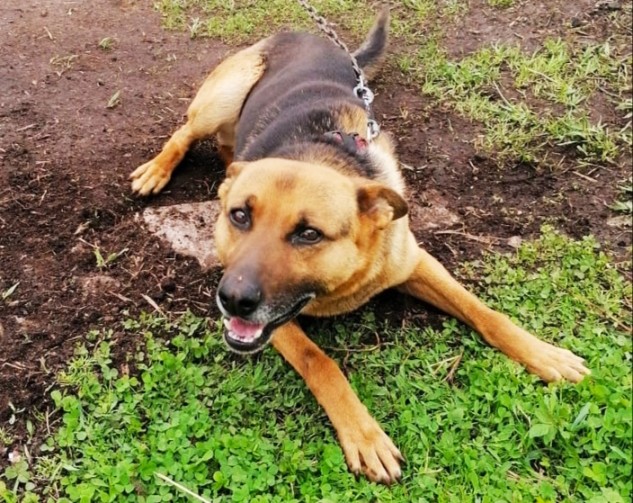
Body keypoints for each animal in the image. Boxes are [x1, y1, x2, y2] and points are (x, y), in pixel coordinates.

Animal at [130, 8, 589, 484]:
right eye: (240, 216)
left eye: (309, 233)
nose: (232, 300)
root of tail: (307, 35)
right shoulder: (278, 326)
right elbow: (320, 362)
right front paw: (364, 435)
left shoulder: (416, 262)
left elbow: (485, 312)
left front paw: (542, 353)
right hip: (223, 94)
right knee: (185, 131)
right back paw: (157, 169)